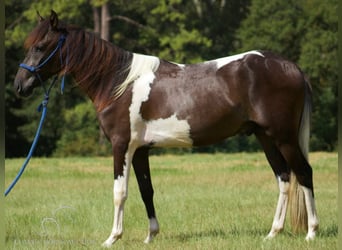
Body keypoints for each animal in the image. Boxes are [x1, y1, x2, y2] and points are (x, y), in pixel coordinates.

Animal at [13, 11, 318, 246]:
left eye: (40, 46)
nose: (20, 85)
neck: (118, 83)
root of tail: (292, 67)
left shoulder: (121, 146)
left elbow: (119, 192)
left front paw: (112, 238)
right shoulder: (140, 150)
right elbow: (146, 189)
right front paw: (151, 236)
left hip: (284, 137)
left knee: (303, 173)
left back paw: (312, 232)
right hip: (266, 137)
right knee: (283, 177)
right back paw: (273, 233)